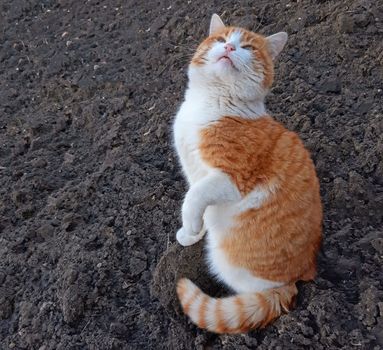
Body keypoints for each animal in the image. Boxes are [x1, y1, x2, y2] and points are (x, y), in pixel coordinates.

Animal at [172, 13, 322, 334]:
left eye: (249, 48)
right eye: (220, 39)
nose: (229, 47)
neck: (211, 104)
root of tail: (296, 280)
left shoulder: (231, 179)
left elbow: (193, 198)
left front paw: (190, 228)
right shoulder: (193, 168)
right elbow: (194, 201)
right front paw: (193, 232)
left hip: (227, 261)